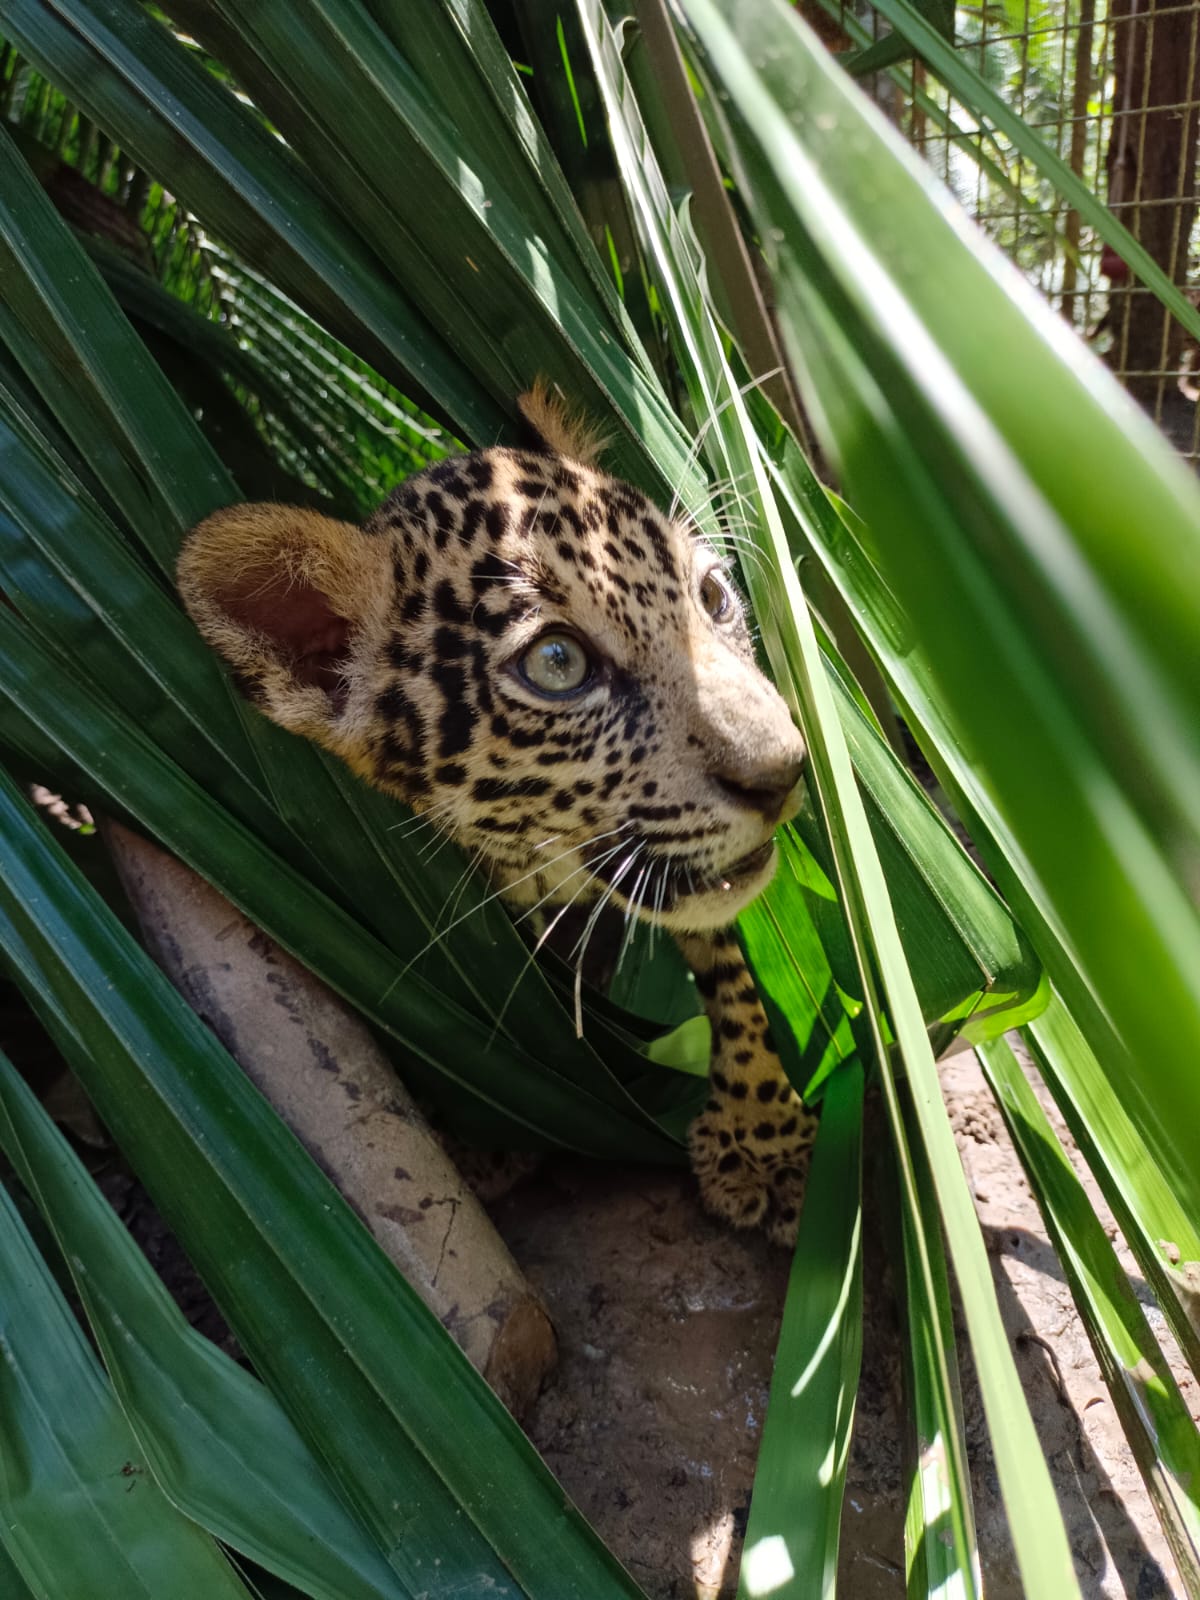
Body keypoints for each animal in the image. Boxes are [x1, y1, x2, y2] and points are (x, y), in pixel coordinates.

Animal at [177, 384, 820, 1245]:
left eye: (712, 598)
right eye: (557, 664)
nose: (784, 772)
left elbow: (729, 965)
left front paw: (766, 1138)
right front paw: (482, 1136)